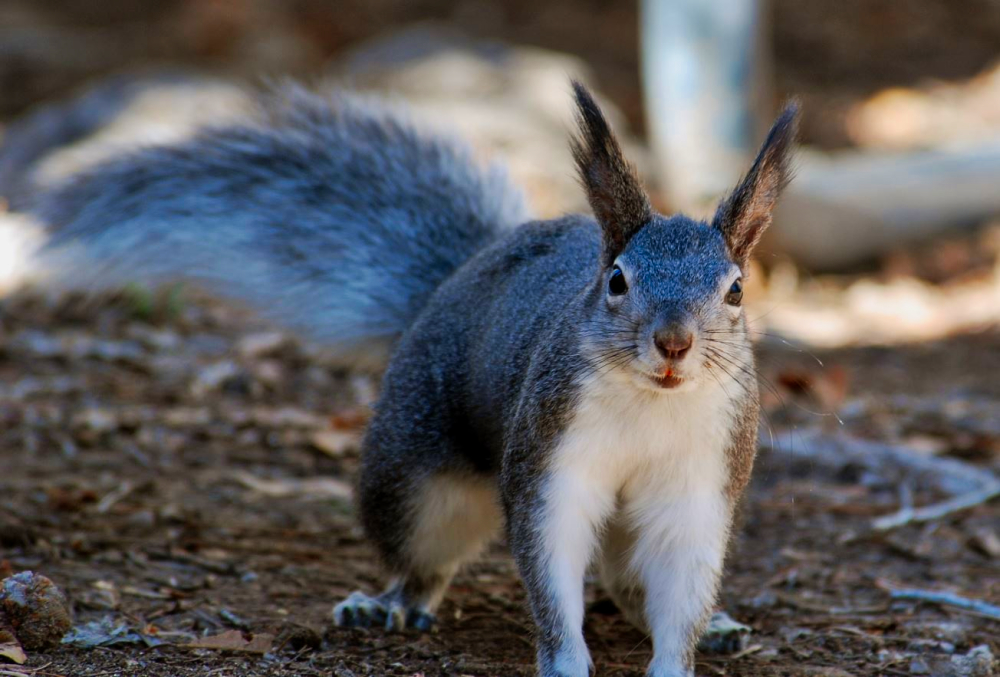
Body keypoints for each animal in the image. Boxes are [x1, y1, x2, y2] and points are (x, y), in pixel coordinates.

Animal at [1, 80, 796, 676]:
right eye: (617, 281)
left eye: (734, 290)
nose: (673, 342)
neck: (650, 404)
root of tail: (458, 278)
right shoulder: (550, 466)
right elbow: (550, 572)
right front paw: (566, 660)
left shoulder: (699, 484)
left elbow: (681, 589)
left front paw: (681, 651)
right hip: (414, 480)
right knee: (424, 555)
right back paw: (390, 603)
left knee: (631, 580)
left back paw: (716, 622)